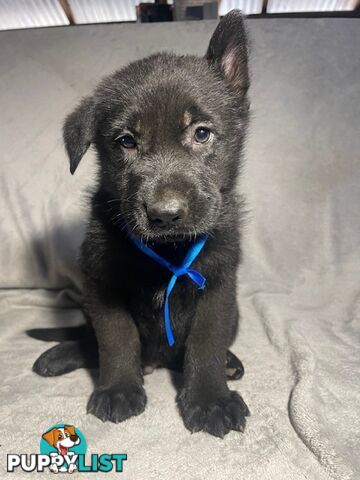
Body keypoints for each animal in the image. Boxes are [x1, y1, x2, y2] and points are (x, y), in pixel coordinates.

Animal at [33, 11, 250, 438]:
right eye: (126, 141)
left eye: (202, 133)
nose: (165, 214)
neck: (169, 252)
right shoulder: (102, 286)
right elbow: (116, 340)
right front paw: (118, 389)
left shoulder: (218, 286)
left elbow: (206, 342)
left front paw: (209, 398)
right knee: (90, 340)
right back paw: (62, 353)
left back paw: (230, 363)